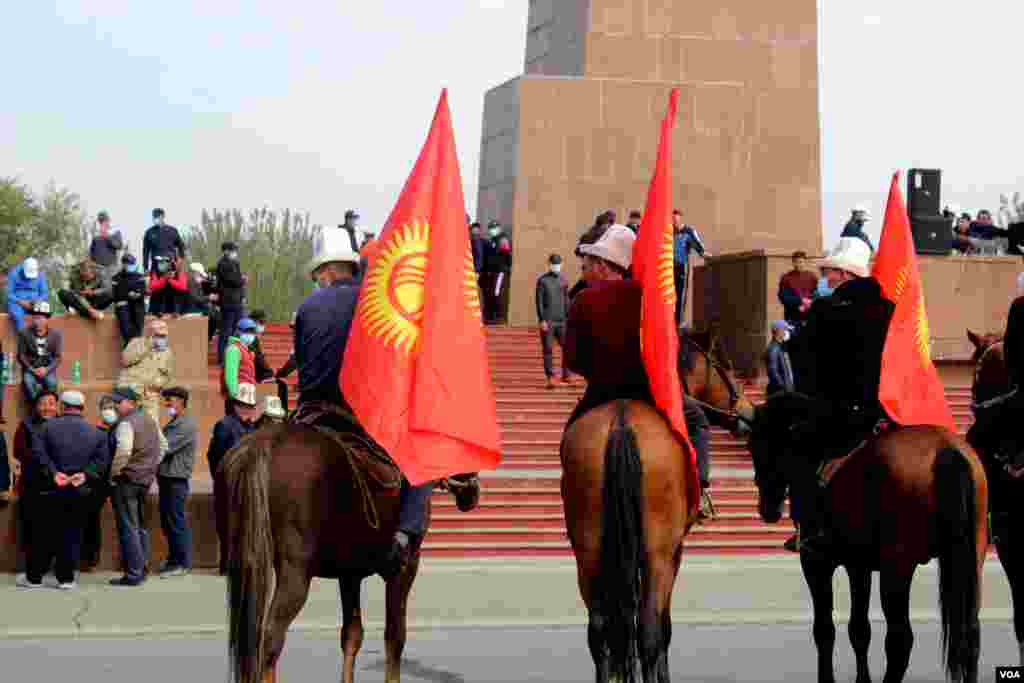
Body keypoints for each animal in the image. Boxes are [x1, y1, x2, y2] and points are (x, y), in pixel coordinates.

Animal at [222, 423, 477, 679]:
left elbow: (352, 636)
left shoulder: (350, 576)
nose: (472, 490)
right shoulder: (404, 569)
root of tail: (262, 445)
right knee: (269, 642)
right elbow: (395, 638)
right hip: (295, 574)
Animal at [749, 395, 987, 683]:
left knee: (900, 638)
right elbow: (859, 629)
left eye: (757, 445)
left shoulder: (816, 563)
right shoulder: (859, 566)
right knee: (970, 631)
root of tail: (948, 451)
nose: (767, 507)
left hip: (897, 568)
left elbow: (824, 629)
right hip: (970, 562)